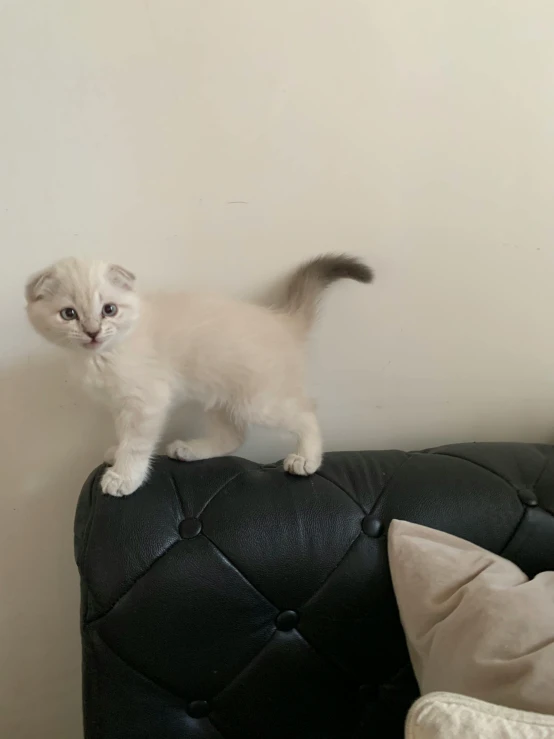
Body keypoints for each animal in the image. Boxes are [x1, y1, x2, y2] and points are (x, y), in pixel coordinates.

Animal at [24, 254, 370, 498]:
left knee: (307, 412)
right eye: (69, 314)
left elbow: (136, 444)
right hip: (221, 398)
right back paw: (190, 451)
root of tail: (282, 319)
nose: (93, 332)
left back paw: (305, 459)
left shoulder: (145, 403)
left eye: (109, 310)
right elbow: (124, 436)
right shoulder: (120, 404)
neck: (99, 356)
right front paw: (116, 454)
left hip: (258, 403)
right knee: (234, 437)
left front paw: (124, 476)